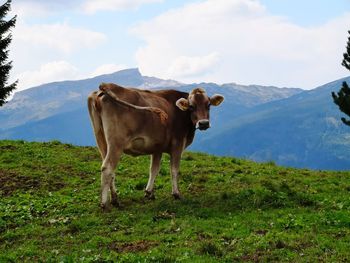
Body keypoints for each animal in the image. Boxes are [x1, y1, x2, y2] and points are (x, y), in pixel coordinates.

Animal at [87, 83, 224, 209]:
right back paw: (105, 204)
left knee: (109, 169)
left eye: (208, 105)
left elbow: (154, 169)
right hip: (116, 143)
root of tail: (105, 87)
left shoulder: (157, 147)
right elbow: (174, 169)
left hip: (101, 139)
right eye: (191, 106)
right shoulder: (178, 144)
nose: (203, 123)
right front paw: (176, 194)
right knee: (107, 168)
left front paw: (149, 193)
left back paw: (115, 199)